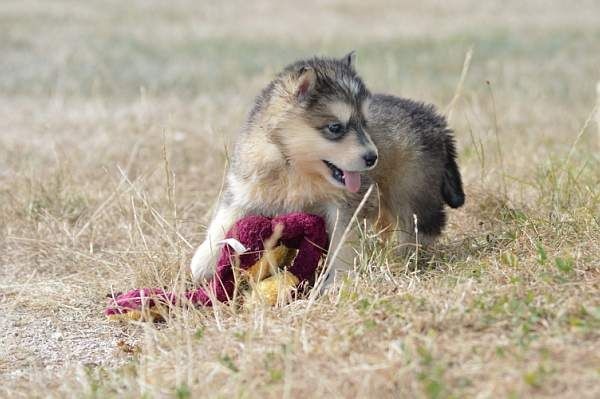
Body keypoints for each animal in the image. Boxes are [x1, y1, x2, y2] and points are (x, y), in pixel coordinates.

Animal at [191, 53, 464, 284]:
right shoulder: (244, 190)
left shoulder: (347, 205)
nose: (372, 157)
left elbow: (343, 244)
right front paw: (201, 265)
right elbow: (222, 224)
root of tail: (435, 119)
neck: (296, 168)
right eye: (335, 127)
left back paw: (403, 258)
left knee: (418, 226)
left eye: (365, 123)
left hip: (410, 190)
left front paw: (338, 281)